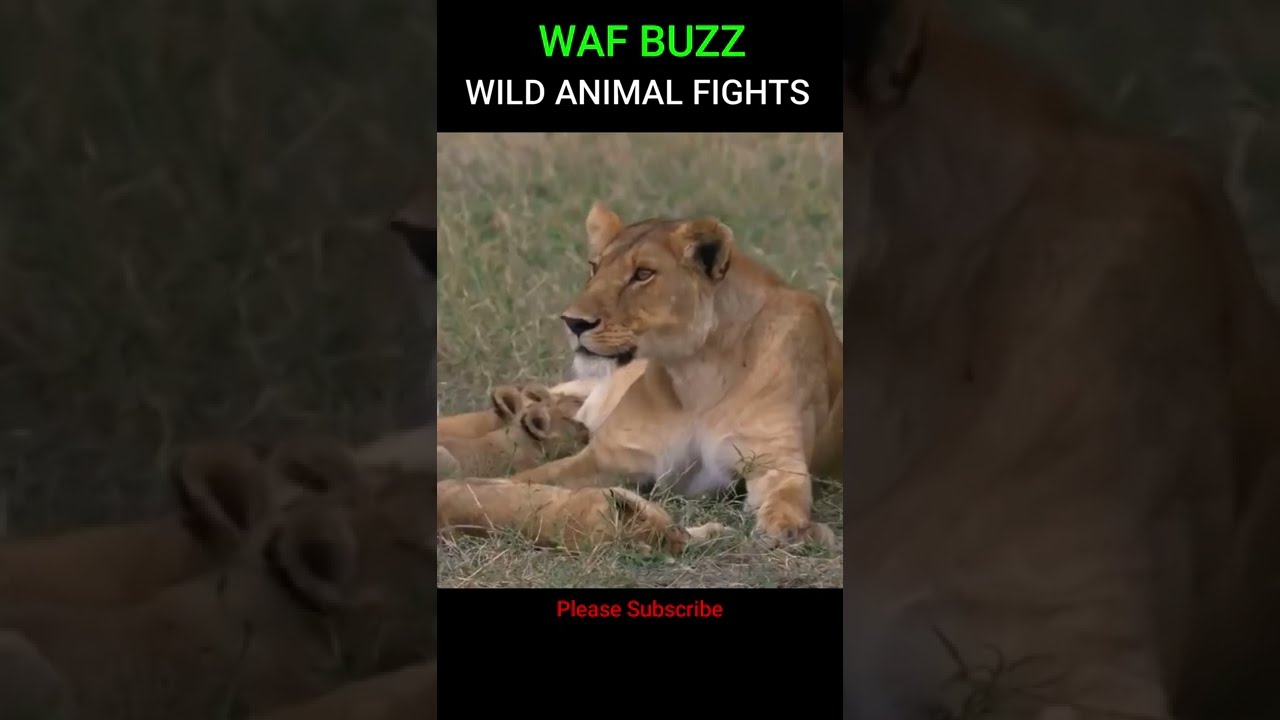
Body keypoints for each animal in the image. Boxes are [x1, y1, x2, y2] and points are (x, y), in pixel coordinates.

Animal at [500, 203, 844, 549]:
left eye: (642, 274)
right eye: (594, 268)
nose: (573, 322)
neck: (695, 374)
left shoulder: (775, 459)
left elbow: (786, 498)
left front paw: (790, 528)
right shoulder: (607, 456)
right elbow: (527, 479)